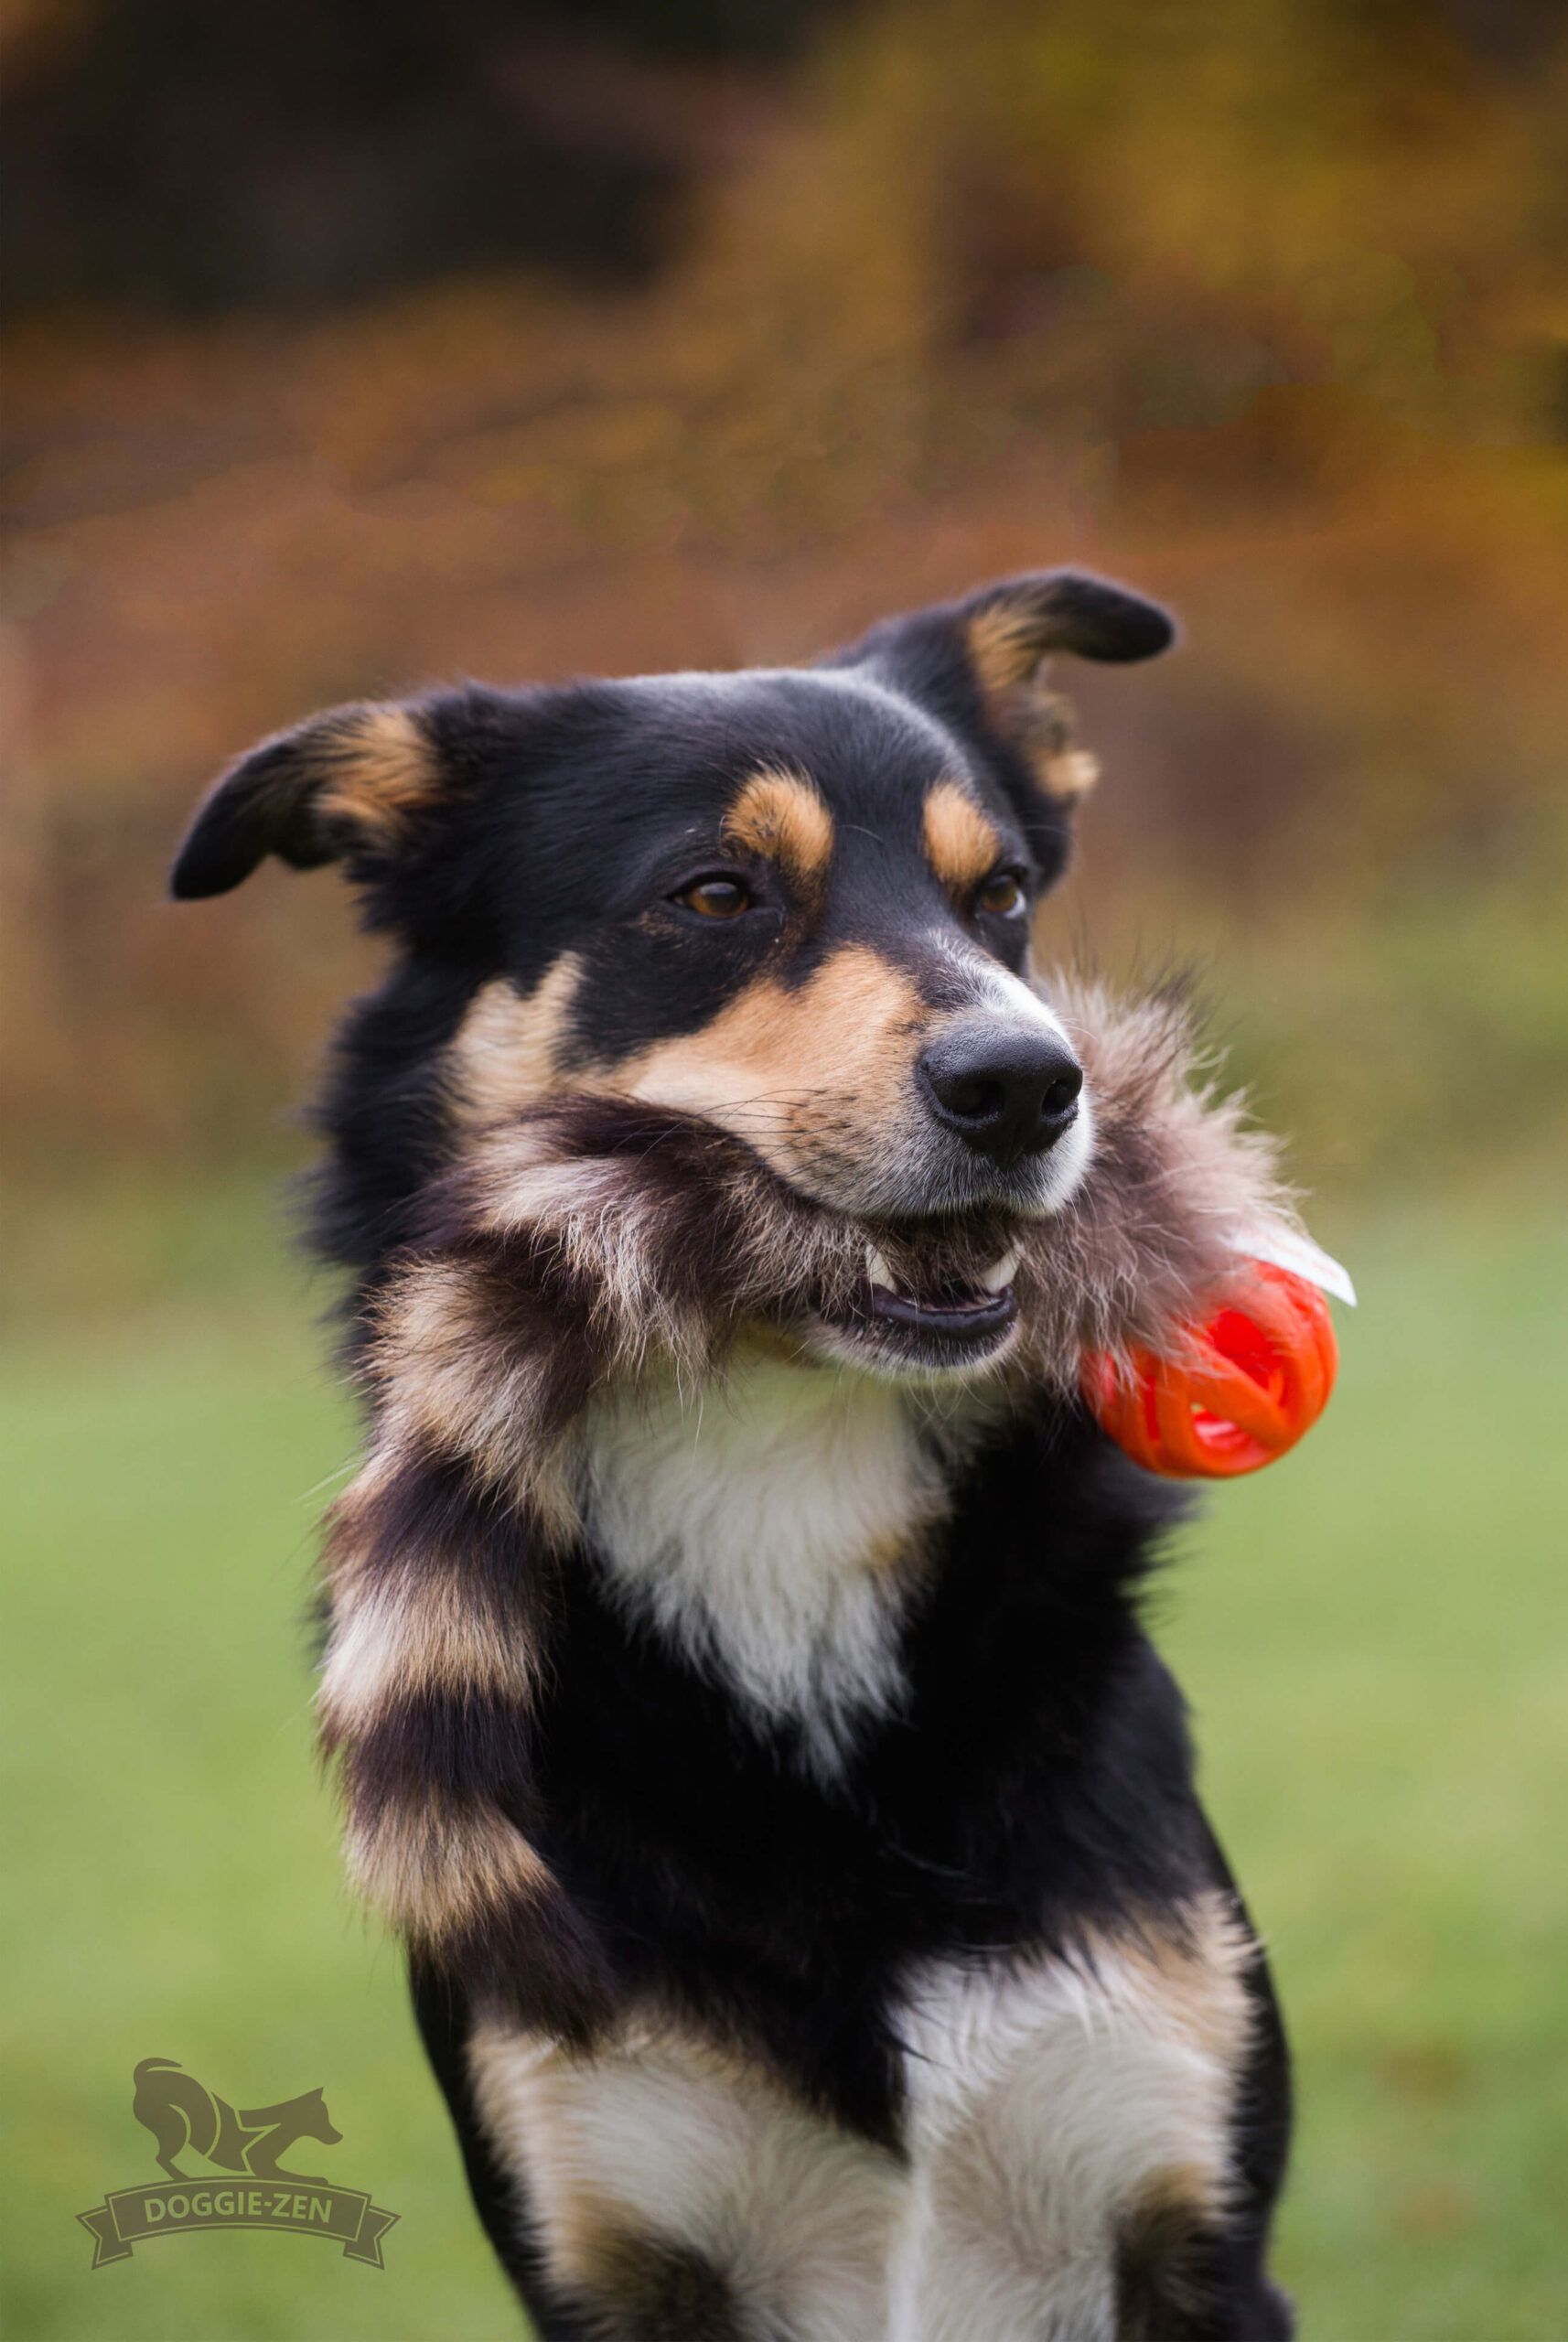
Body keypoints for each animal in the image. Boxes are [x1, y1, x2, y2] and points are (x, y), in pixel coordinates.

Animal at [172, 571, 1301, 2342]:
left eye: (1001, 897)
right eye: (715, 893)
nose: (1029, 1084)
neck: (778, 1474)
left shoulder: (1189, 2228)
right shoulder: (612, 2249)